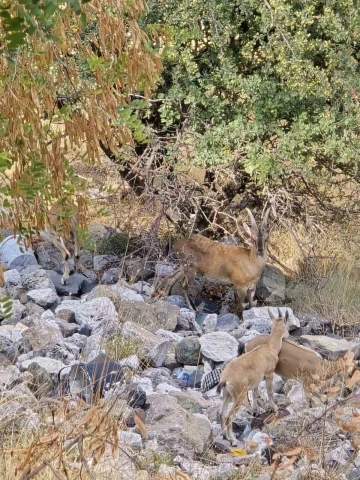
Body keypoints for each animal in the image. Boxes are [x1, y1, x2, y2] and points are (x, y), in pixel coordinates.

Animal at [217, 310, 290, 444]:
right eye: (288, 325)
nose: (287, 336)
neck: (270, 348)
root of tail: (225, 379)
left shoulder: (256, 381)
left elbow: (256, 394)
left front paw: (257, 410)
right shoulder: (269, 374)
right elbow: (270, 392)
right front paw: (274, 407)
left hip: (227, 394)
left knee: (221, 413)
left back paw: (224, 434)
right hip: (238, 396)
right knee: (229, 415)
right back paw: (232, 439)